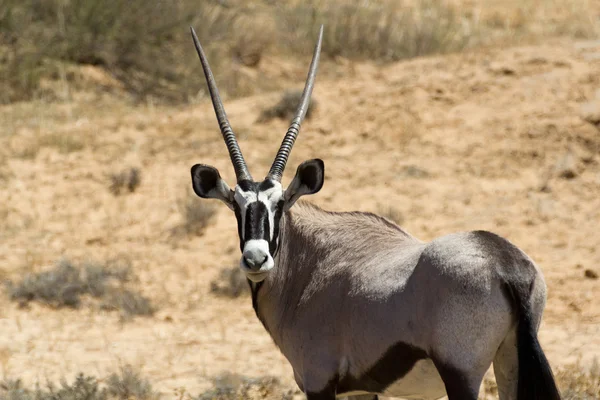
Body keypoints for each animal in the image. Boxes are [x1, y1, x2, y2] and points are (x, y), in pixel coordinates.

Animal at [191, 25, 564, 400]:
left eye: (279, 205)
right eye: (236, 206)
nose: (255, 259)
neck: (308, 265)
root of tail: (505, 262)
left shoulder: (318, 381)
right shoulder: (359, 389)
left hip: (461, 373)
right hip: (509, 361)